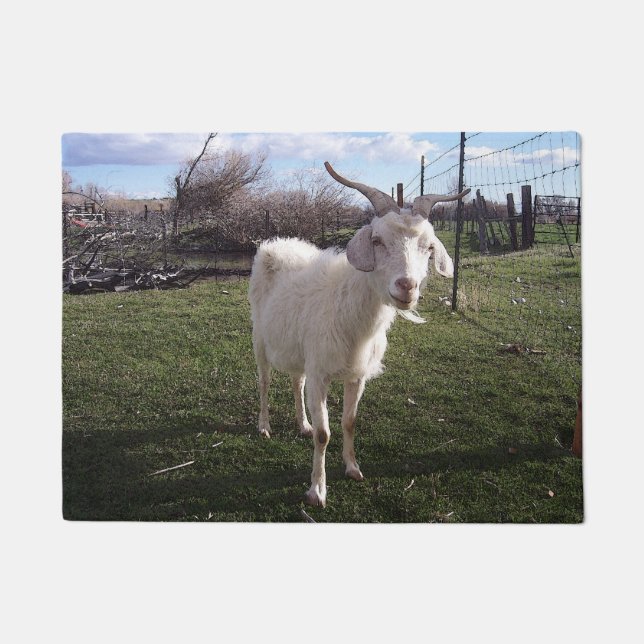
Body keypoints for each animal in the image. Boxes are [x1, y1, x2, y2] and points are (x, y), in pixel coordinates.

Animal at [248, 161, 470, 507]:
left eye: (429, 247)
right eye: (377, 240)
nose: (407, 287)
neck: (348, 309)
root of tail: (274, 243)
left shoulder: (356, 375)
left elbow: (349, 422)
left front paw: (352, 468)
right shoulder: (321, 373)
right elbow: (325, 434)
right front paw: (317, 491)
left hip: (299, 350)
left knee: (296, 381)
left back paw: (303, 424)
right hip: (260, 337)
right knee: (264, 382)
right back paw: (264, 426)